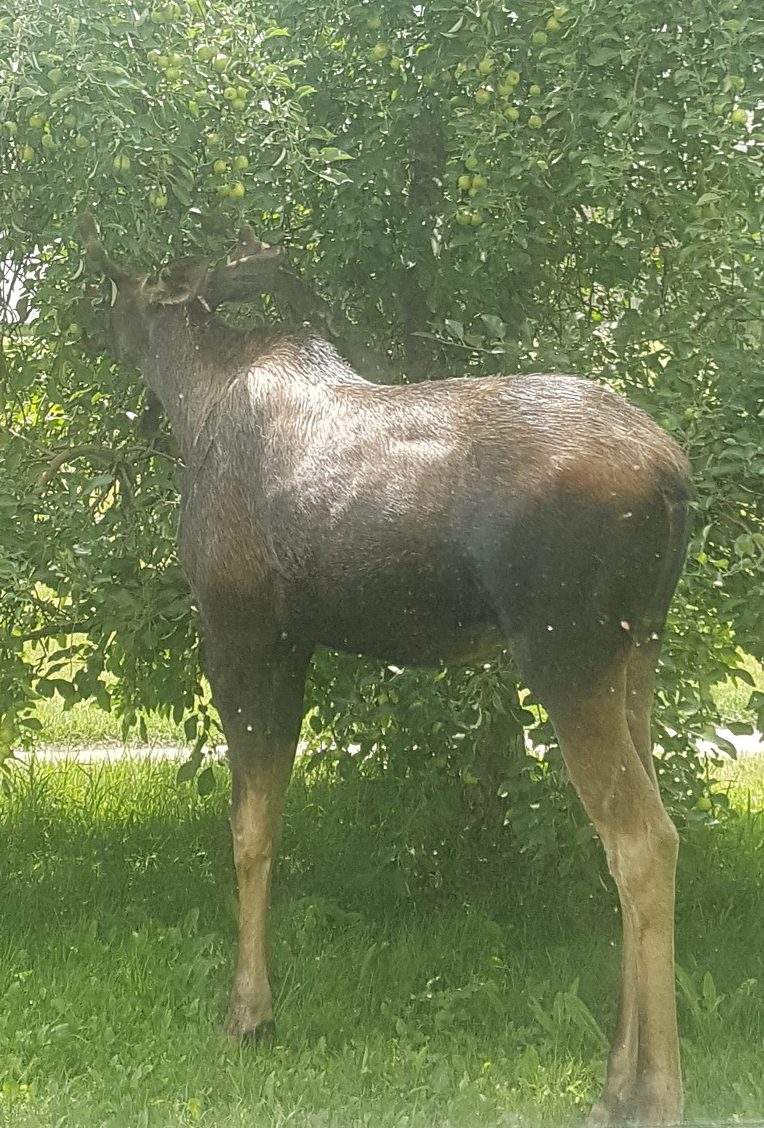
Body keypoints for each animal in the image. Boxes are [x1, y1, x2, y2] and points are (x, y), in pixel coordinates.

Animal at [78, 213, 692, 1127]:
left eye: (119, 287)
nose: (90, 330)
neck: (196, 400)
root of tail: (677, 480)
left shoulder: (241, 627)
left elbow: (249, 827)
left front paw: (247, 1013)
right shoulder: (296, 642)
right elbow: (270, 815)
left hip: (566, 648)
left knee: (644, 840)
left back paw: (652, 1093)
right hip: (639, 649)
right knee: (633, 828)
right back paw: (619, 1076)